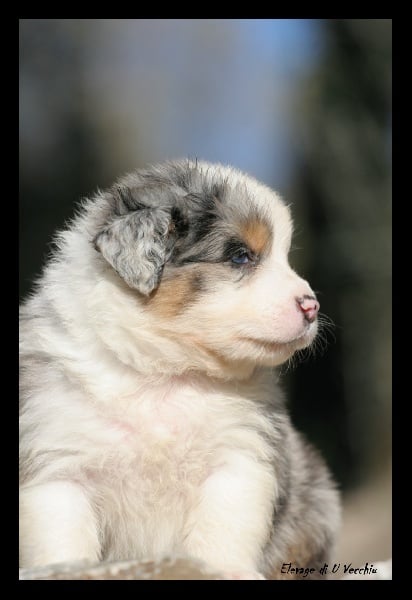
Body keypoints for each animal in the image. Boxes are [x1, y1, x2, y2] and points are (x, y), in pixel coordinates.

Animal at [19, 159, 340, 579]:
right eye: (240, 256)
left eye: (285, 255)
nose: (311, 307)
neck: (166, 371)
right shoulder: (58, 464)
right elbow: (62, 536)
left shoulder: (239, 456)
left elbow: (224, 526)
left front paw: (225, 569)